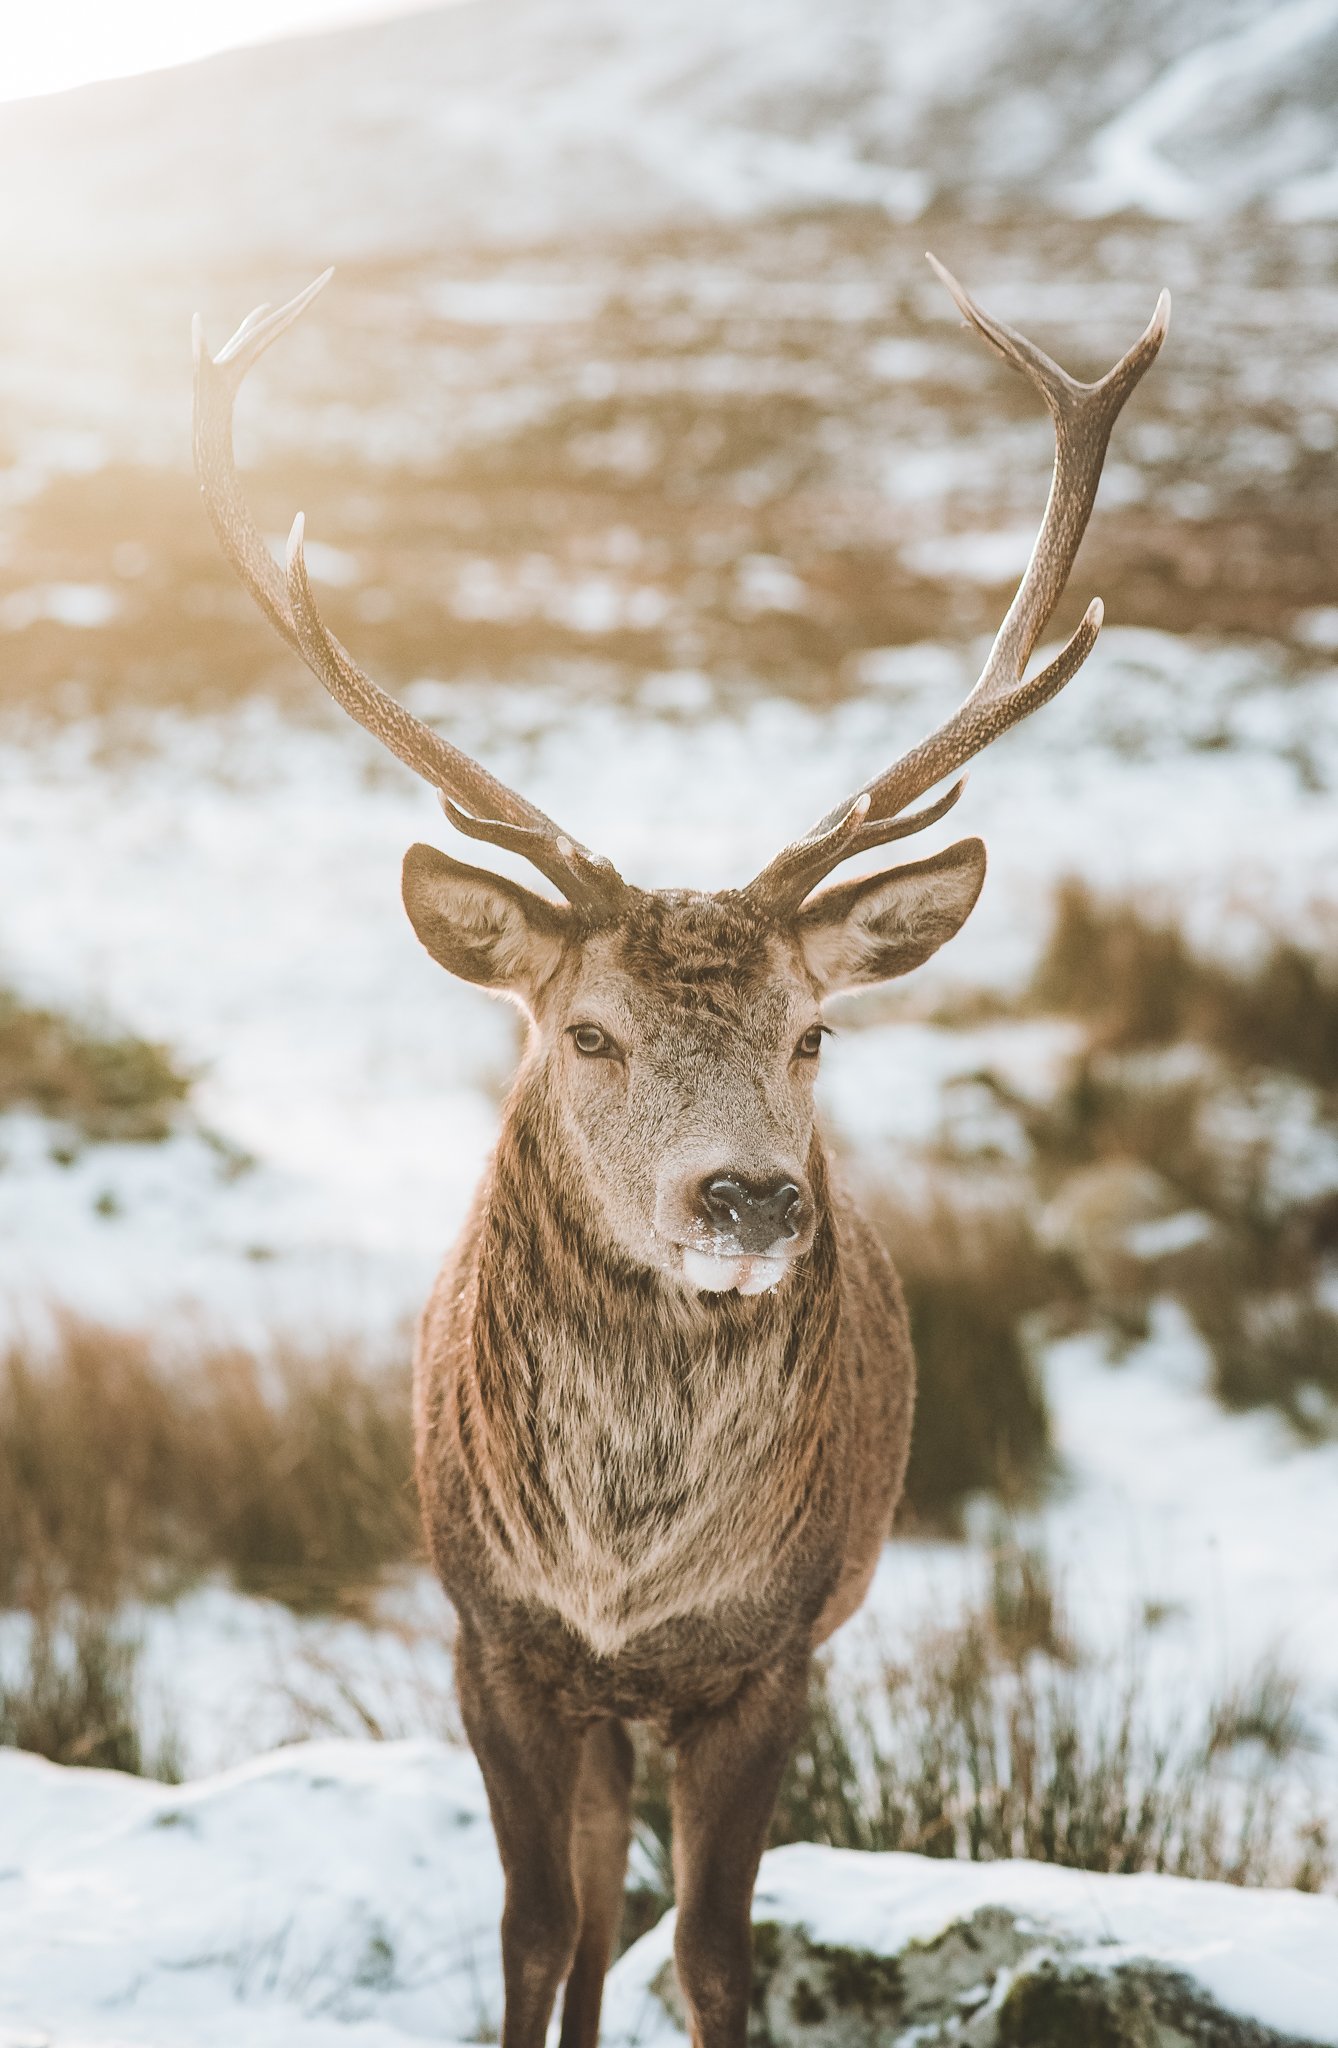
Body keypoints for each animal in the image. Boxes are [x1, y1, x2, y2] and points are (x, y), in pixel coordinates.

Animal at [193, 257, 1167, 2048]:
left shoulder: (769, 1659)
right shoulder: (491, 1639)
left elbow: (714, 1952)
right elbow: (529, 1933)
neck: (627, 1572)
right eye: (587, 1034)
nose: (748, 1192)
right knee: (585, 1906)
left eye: (811, 1035)